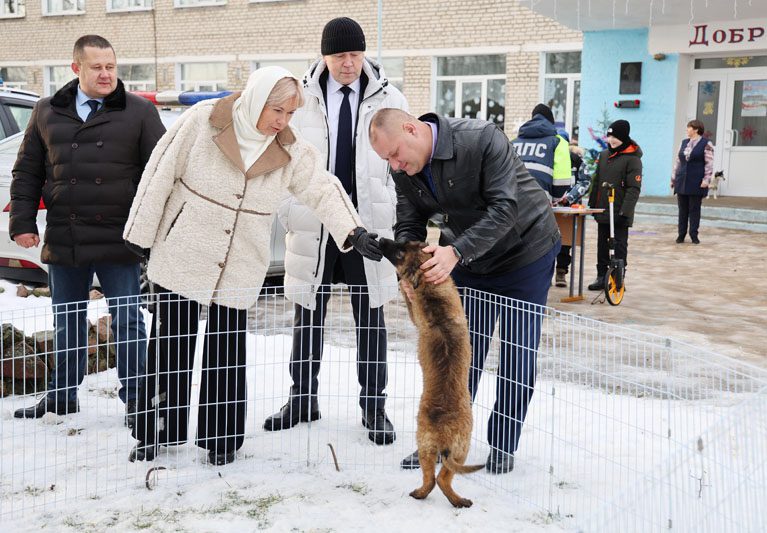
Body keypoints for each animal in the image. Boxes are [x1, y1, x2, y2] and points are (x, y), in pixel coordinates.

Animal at [380, 238, 484, 508]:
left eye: (400, 248)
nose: (379, 239)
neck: (430, 291)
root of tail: (441, 427)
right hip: (455, 448)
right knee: (441, 479)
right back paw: (459, 501)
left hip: (427, 447)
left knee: (432, 479)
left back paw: (425, 495)